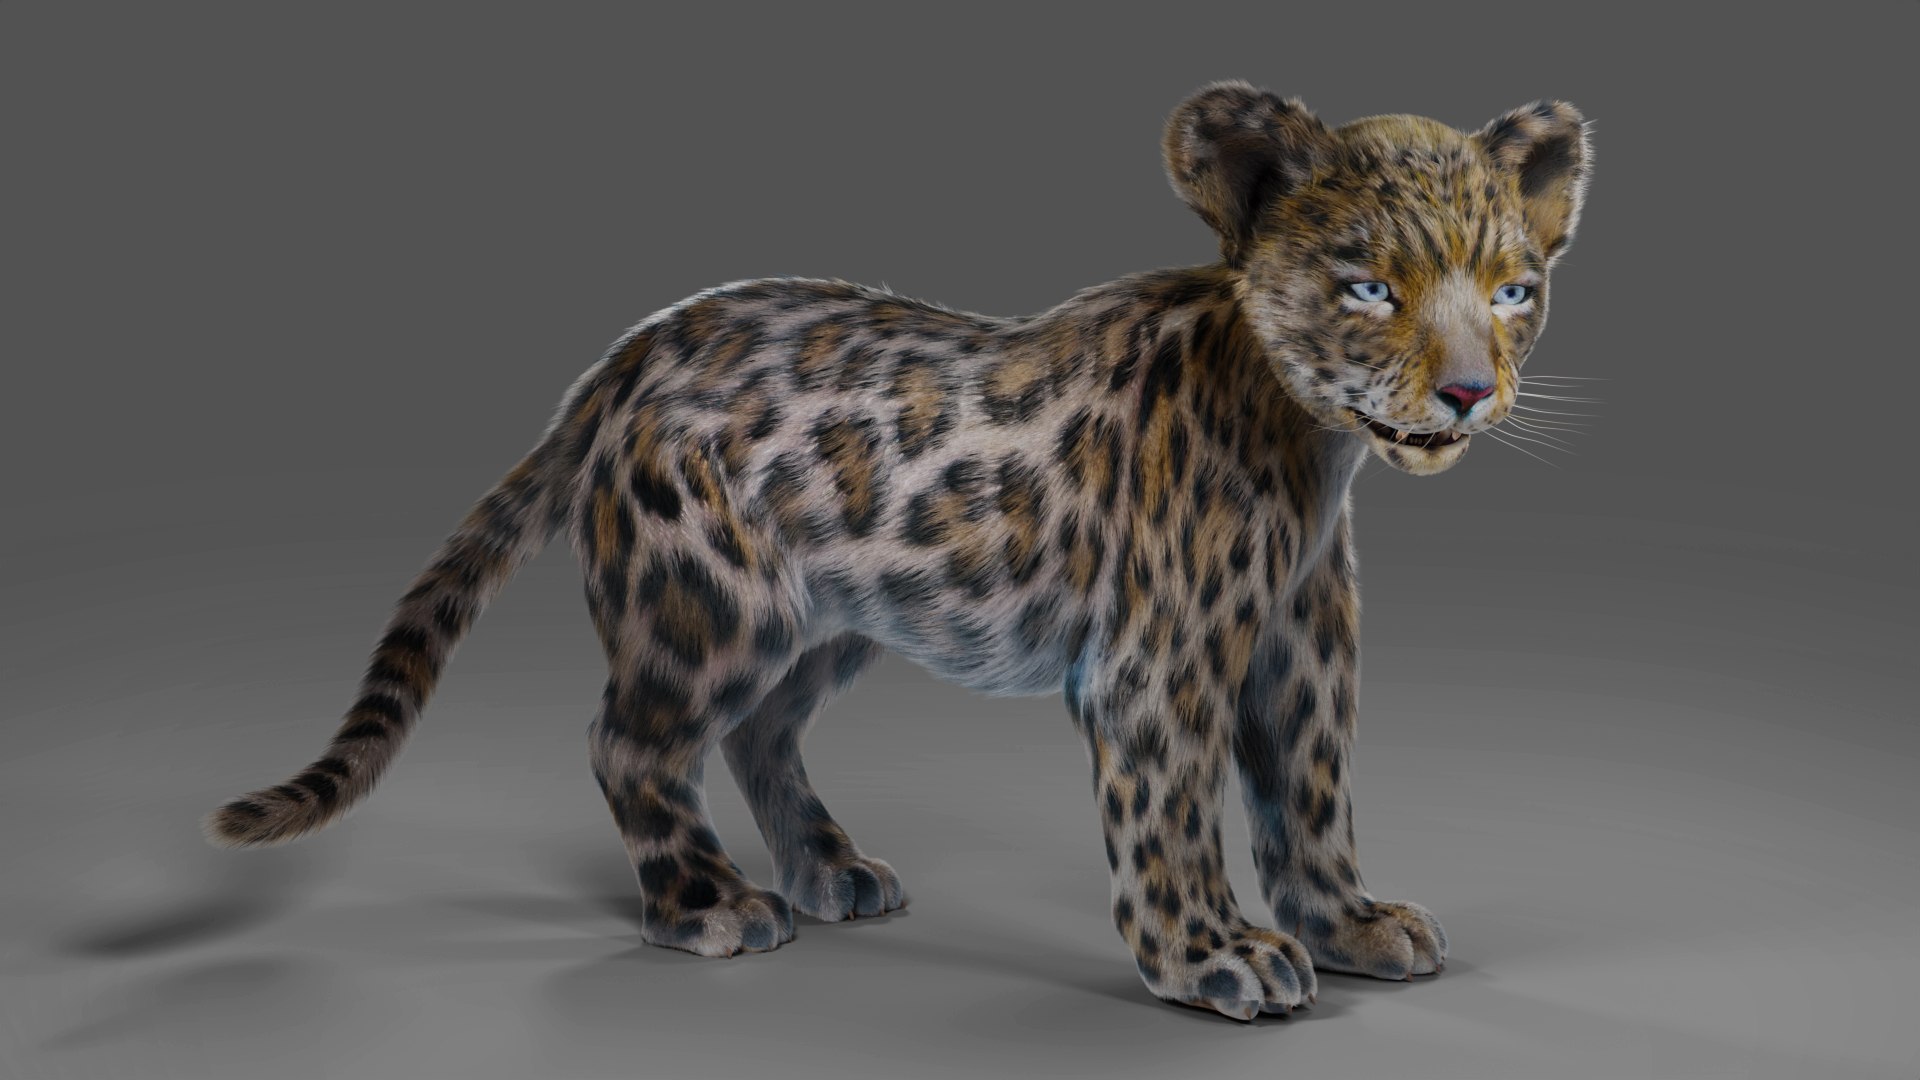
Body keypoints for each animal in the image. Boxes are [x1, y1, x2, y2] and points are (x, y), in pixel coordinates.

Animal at [206, 81, 1592, 1021]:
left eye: (1513, 290)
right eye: (1370, 288)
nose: (1470, 394)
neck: (1311, 447)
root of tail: (630, 352)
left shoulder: (1301, 649)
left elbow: (1308, 791)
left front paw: (1351, 922)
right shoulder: (1158, 666)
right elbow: (1174, 813)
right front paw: (1213, 956)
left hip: (834, 618)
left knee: (760, 734)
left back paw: (833, 869)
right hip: (711, 605)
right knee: (630, 740)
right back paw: (712, 906)